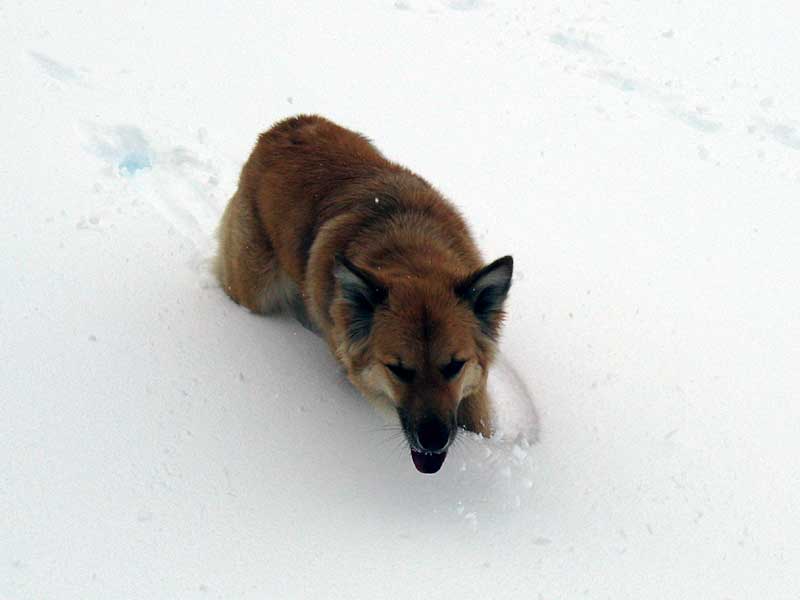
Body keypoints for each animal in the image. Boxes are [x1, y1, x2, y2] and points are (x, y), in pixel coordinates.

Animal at [214, 116, 512, 474]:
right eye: (398, 369)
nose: (433, 440)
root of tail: (287, 125)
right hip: (255, 286)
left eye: (454, 366)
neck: (410, 255)